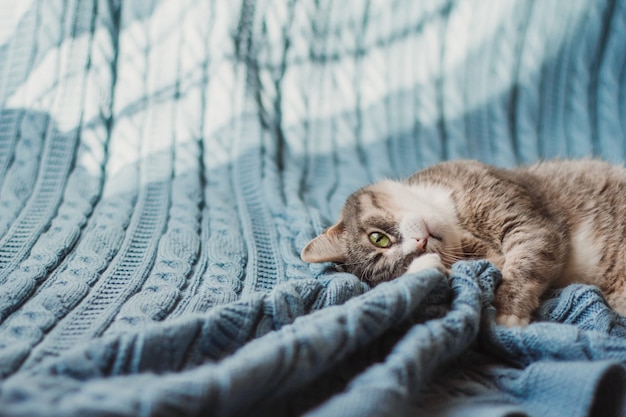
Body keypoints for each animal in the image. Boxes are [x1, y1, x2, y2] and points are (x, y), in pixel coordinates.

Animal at [302, 158, 624, 324]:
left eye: (378, 239)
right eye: (406, 264)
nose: (420, 244)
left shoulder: (526, 222)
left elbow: (525, 263)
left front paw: (508, 314)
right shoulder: (491, 255)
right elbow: (499, 263)